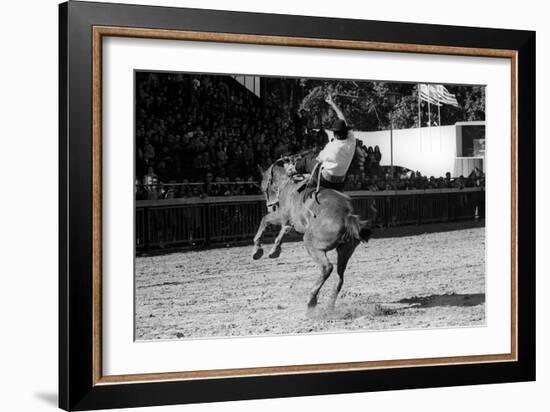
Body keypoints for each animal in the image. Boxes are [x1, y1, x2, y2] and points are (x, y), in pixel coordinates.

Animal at [253, 156, 376, 310]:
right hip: (346, 249)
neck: (288, 184)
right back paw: (329, 304)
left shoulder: (283, 216)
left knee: (326, 268)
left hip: (312, 244)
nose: (269, 206)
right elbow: (280, 228)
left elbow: (266, 221)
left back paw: (311, 298)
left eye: (263, 187)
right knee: (340, 276)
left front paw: (262, 250)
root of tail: (347, 216)